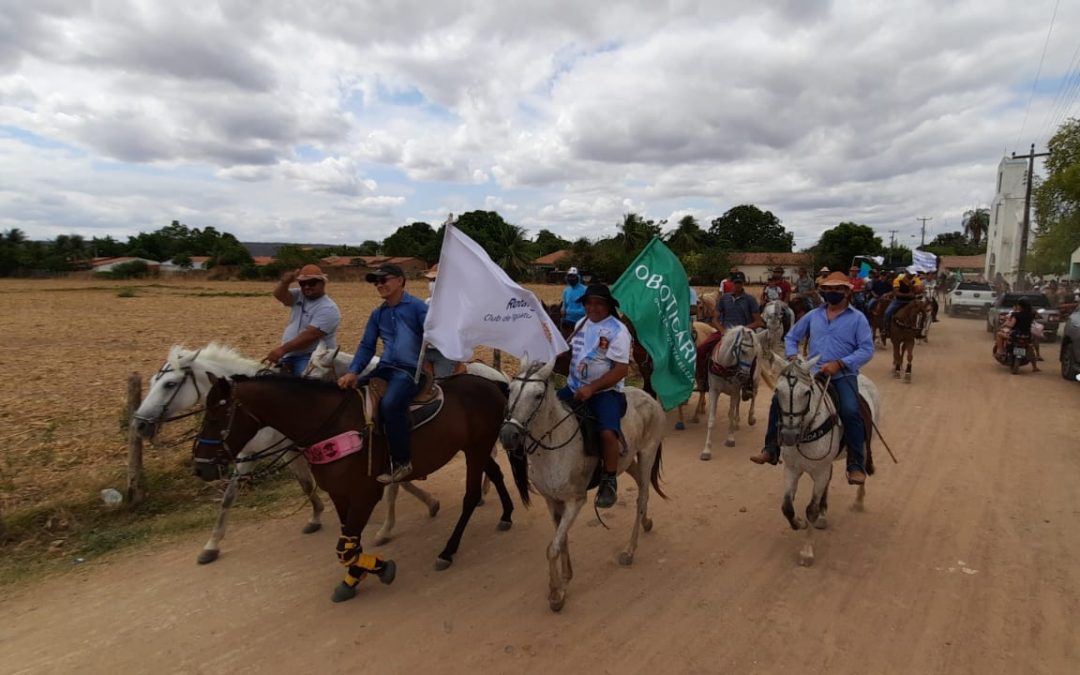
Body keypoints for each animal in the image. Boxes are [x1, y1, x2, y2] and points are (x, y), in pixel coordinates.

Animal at [192, 373, 516, 600]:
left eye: (215, 417)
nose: (200, 467)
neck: (331, 427)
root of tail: (492, 384)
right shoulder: (339, 494)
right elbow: (348, 544)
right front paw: (354, 577)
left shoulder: (365, 494)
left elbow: (345, 546)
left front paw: (379, 568)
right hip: (475, 448)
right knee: (497, 474)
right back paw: (506, 515)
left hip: (476, 448)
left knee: (471, 496)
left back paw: (448, 551)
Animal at [498, 360, 665, 613]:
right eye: (509, 390)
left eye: (538, 395)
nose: (508, 435)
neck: (555, 443)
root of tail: (648, 396)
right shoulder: (552, 501)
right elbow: (561, 539)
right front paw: (566, 577)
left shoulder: (574, 501)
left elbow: (552, 548)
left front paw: (556, 594)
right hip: (627, 462)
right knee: (640, 487)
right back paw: (647, 523)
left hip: (647, 453)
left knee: (642, 497)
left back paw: (629, 550)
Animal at [695, 326, 764, 457]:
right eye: (743, 351)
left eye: (754, 355)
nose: (744, 376)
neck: (724, 366)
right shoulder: (714, 391)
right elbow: (712, 419)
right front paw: (707, 449)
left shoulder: (734, 391)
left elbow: (730, 415)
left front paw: (730, 439)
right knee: (739, 402)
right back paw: (737, 423)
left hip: (756, 379)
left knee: (754, 394)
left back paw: (750, 418)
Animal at [777, 356, 876, 565]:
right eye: (777, 391)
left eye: (806, 392)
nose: (788, 435)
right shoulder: (791, 469)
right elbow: (787, 507)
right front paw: (799, 523)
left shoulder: (820, 471)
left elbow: (811, 509)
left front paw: (807, 551)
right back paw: (823, 515)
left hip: (863, 447)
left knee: (861, 467)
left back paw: (858, 501)